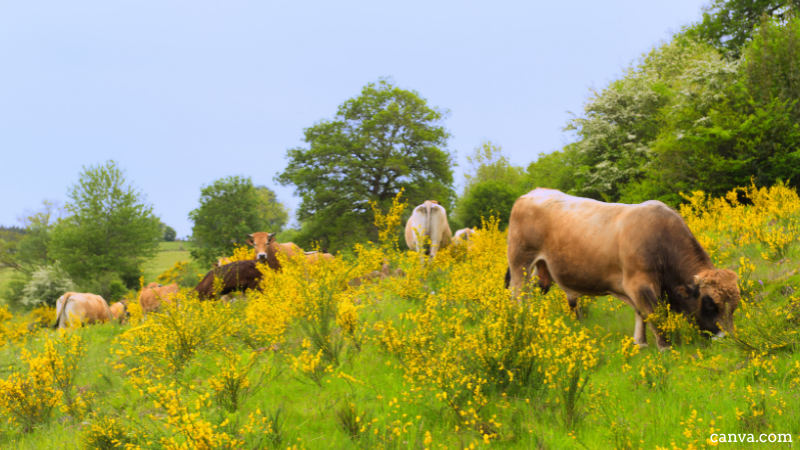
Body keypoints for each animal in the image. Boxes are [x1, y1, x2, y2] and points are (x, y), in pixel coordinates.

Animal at [510, 188, 740, 350]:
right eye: (709, 305)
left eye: (733, 308)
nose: (726, 340)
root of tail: (533, 192)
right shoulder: (639, 284)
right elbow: (653, 314)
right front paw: (665, 347)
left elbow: (641, 313)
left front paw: (641, 342)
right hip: (520, 263)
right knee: (520, 296)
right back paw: (524, 324)